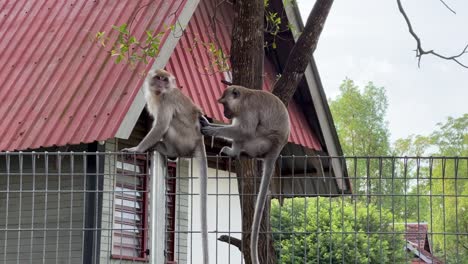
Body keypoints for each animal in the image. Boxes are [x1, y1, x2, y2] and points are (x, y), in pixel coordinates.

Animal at [123, 68, 211, 264]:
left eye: (165, 80)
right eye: (158, 78)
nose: (161, 84)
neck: (159, 94)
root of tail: (198, 139)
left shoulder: (166, 99)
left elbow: (161, 126)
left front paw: (137, 148)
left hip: (183, 139)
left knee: (169, 123)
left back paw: (165, 149)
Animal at [200, 84, 290, 264]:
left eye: (224, 104)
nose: (225, 113)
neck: (244, 97)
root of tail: (276, 148)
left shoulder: (248, 109)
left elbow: (244, 130)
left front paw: (210, 129)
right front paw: (206, 122)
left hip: (259, 143)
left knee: (245, 133)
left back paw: (233, 151)